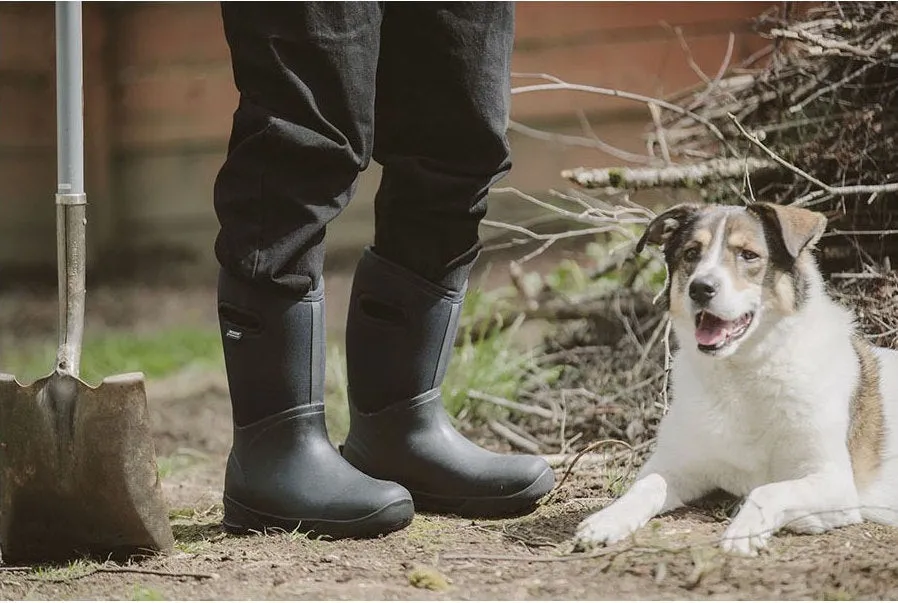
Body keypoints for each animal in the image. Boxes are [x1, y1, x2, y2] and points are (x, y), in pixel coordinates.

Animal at [576, 202, 896, 556]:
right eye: (691, 253)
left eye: (748, 255)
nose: (700, 288)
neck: (742, 371)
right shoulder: (675, 464)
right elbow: (647, 484)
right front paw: (609, 519)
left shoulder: (833, 481)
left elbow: (768, 490)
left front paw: (745, 529)